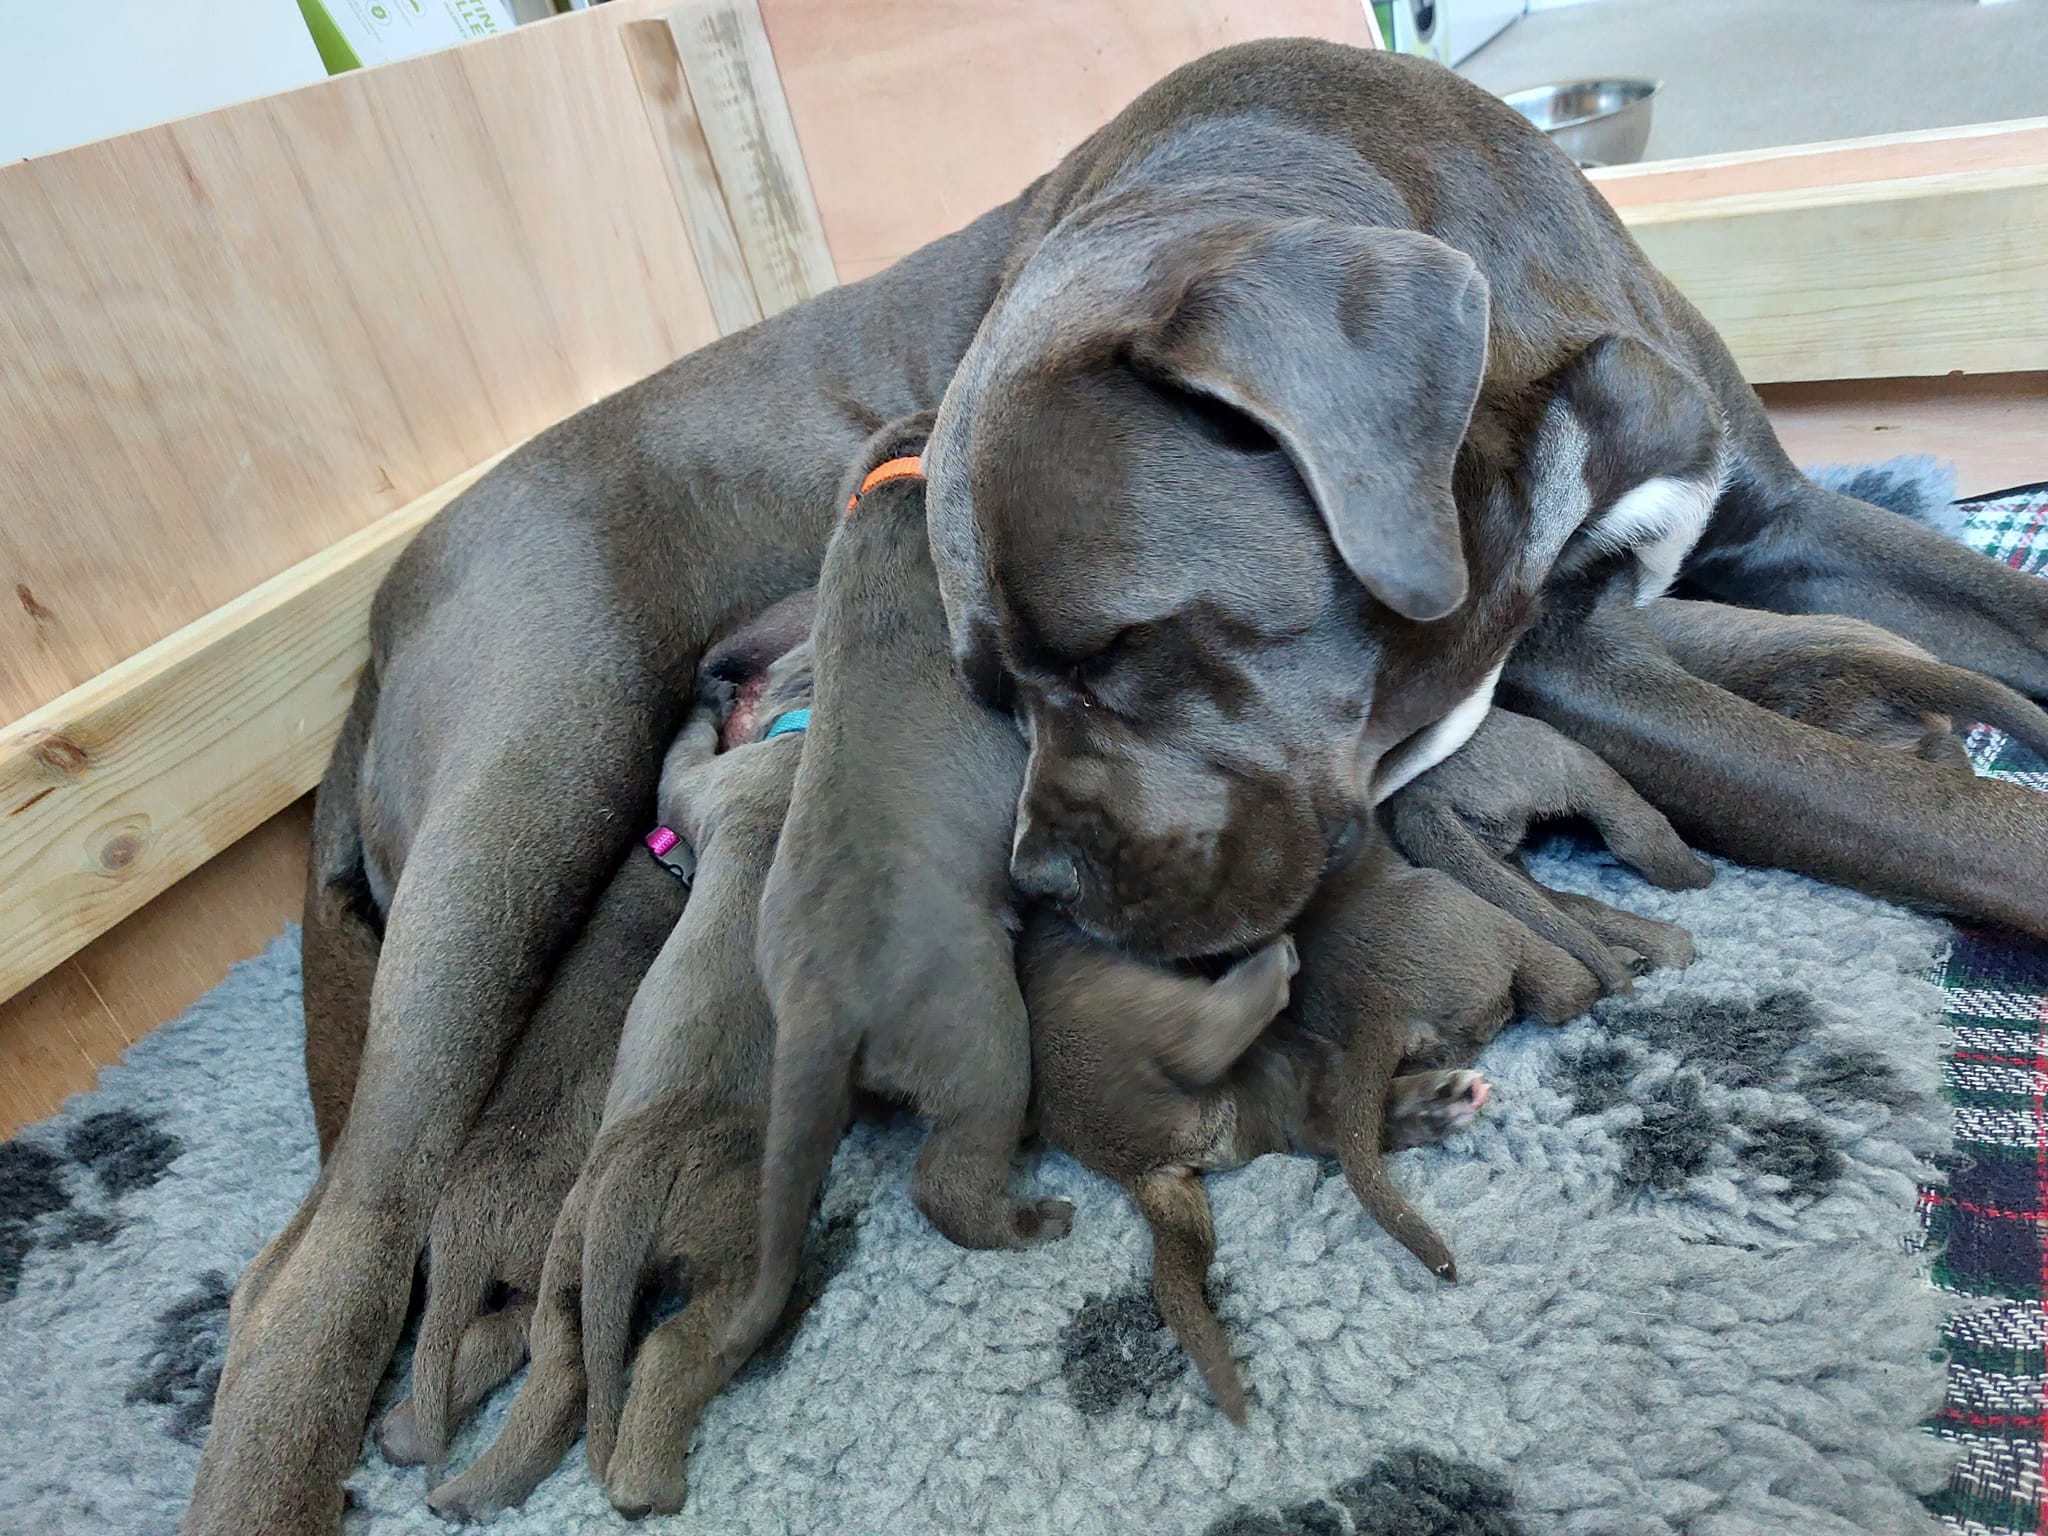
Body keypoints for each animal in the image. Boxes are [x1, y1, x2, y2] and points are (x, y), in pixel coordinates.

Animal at [1024, 835, 1597, 1425]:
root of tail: (1139, 1171)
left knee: (1335, 1122)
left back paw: (1443, 1102)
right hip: (1136, 1011)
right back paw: (1276, 963)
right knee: (1208, 1041)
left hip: (1275, 1070)